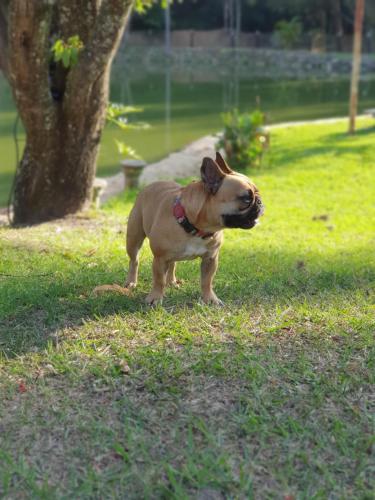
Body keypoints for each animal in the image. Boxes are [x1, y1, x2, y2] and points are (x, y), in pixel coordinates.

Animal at [125, 152, 264, 304]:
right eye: (246, 199)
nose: (260, 202)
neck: (196, 229)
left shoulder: (210, 258)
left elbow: (207, 281)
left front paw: (210, 299)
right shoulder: (159, 259)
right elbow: (158, 280)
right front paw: (155, 298)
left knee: (172, 263)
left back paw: (171, 281)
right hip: (134, 238)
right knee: (134, 260)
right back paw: (131, 282)